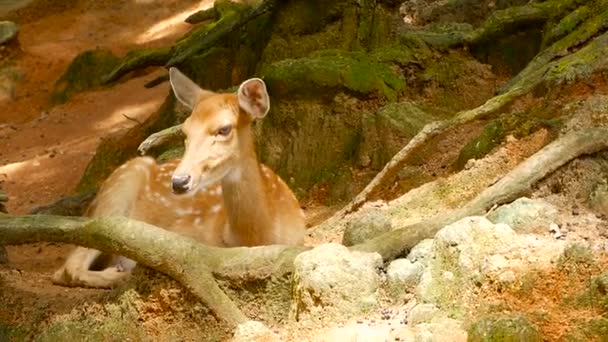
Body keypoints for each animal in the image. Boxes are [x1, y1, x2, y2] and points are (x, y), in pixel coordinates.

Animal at [52, 67, 306, 288]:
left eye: (224, 129)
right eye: (184, 131)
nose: (179, 181)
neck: (256, 236)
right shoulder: (184, 239)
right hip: (118, 191)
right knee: (68, 266)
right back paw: (119, 273)